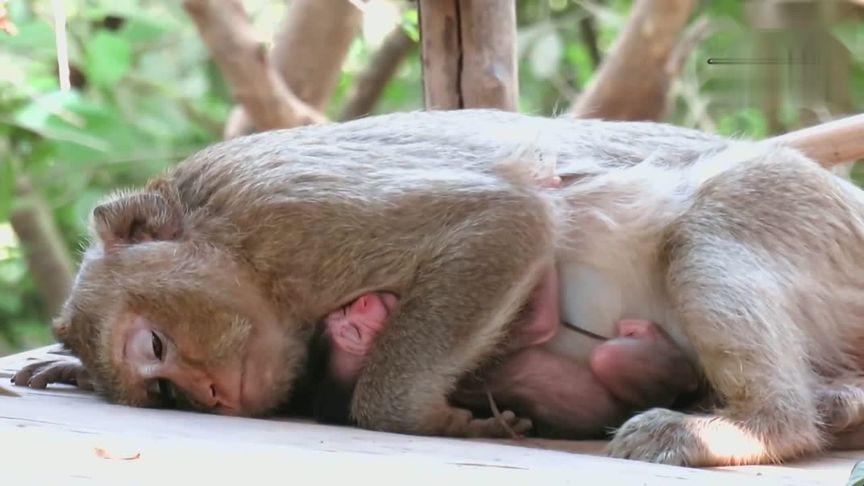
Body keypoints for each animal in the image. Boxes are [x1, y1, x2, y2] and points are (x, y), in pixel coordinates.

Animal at [13, 111, 864, 468]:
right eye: (165, 393)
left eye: (156, 345)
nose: (206, 391)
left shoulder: (287, 217)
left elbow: (504, 219)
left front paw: (426, 415)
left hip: (813, 220)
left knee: (710, 223)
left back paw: (758, 427)